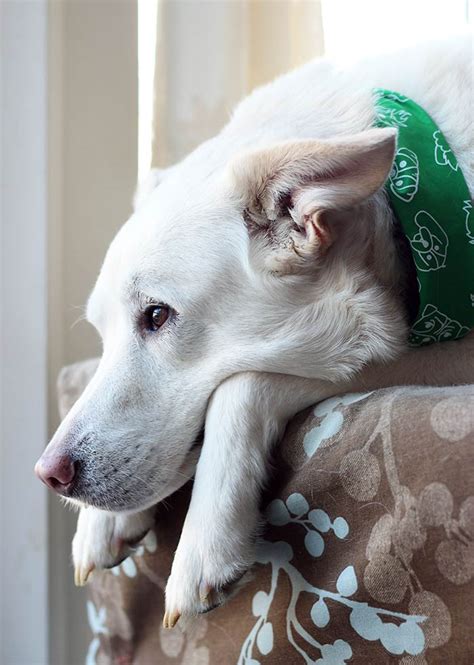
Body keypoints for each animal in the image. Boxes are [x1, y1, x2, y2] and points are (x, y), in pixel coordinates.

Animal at [35, 35, 472, 628]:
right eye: (102, 335)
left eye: (157, 316)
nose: (49, 474)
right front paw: (99, 523)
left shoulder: (432, 351)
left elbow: (241, 386)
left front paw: (205, 541)